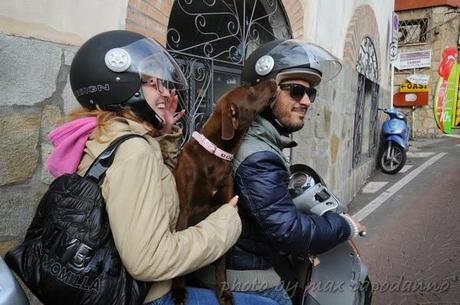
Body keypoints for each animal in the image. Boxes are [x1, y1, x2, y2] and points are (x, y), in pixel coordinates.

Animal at [170, 79, 274, 304]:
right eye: (250, 90)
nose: (273, 81)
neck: (215, 155)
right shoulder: (185, 211)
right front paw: (179, 290)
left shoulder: (224, 209)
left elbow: (221, 262)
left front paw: (223, 292)